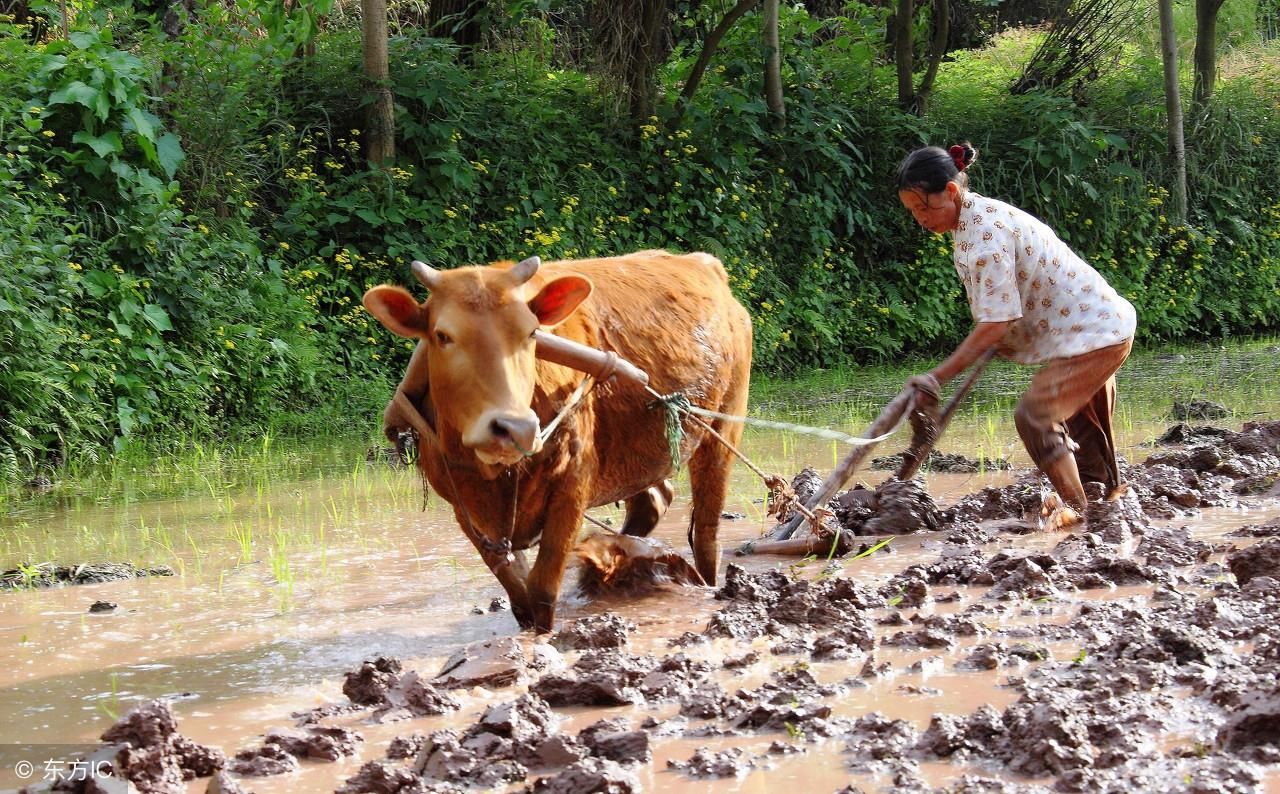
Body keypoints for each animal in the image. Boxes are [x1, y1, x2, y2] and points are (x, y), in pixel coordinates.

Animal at [363, 248, 747, 632]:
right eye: (442, 335)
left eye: (532, 332)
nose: (514, 428)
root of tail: (705, 263)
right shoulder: (465, 509)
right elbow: (518, 593)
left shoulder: (571, 487)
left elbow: (542, 589)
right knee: (652, 501)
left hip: (722, 430)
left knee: (706, 532)